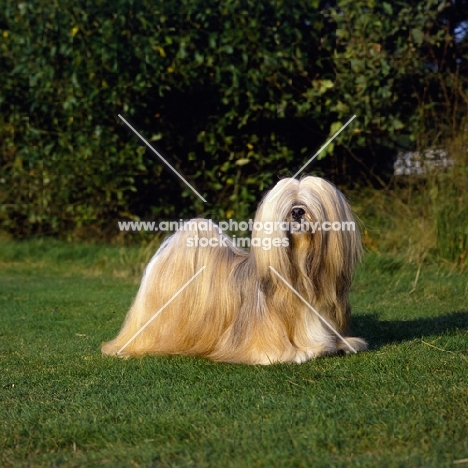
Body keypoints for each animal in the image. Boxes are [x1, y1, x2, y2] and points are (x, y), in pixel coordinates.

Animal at [101, 177, 366, 364]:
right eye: (289, 206)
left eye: (309, 204)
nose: (298, 211)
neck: (301, 276)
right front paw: (300, 353)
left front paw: (344, 344)